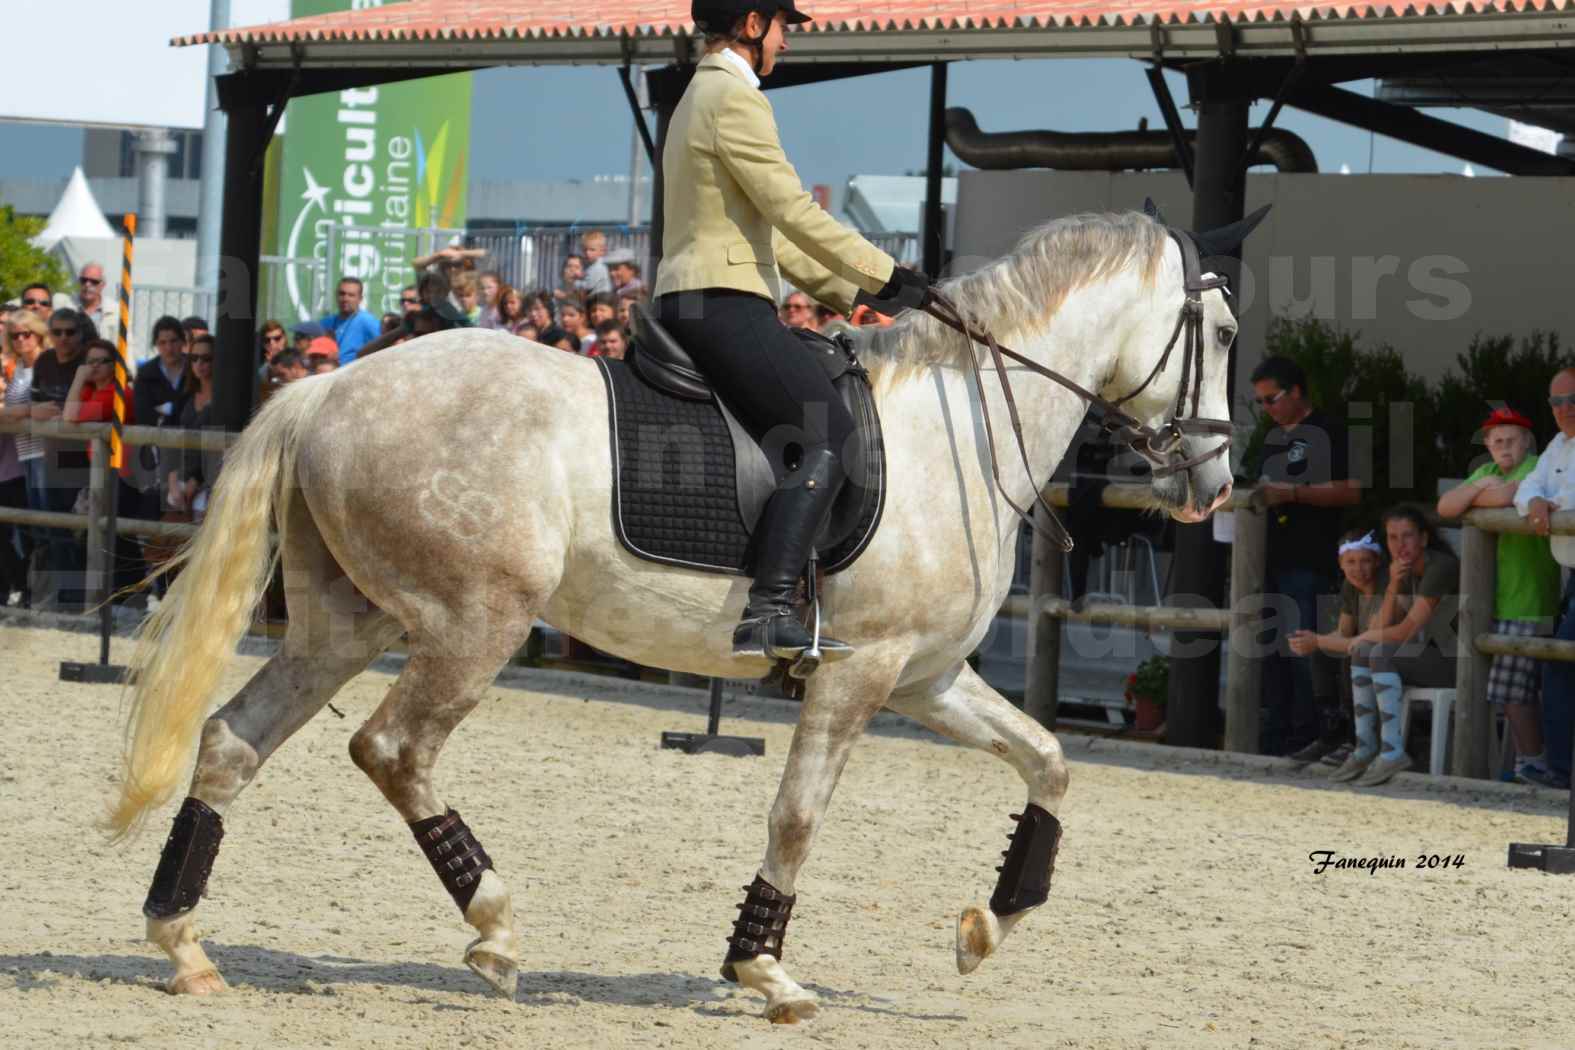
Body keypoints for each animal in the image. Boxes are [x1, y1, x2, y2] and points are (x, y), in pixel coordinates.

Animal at [107, 209, 1241, 1020]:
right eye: (1224, 333)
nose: (1214, 482)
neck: (958, 430)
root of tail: (332, 389)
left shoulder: (926, 678)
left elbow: (1047, 761)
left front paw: (986, 928)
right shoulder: (860, 672)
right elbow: (796, 816)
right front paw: (765, 971)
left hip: (348, 627)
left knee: (232, 742)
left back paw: (182, 943)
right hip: (474, 624)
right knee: (394, 750)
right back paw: (495, 930)